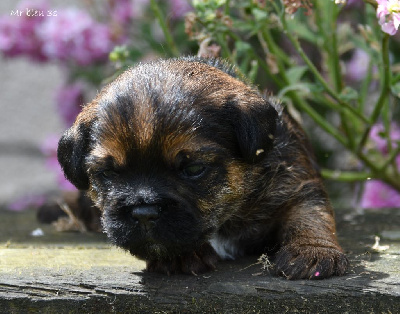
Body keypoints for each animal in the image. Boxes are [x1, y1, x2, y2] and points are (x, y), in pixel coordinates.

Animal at [57, 57, 348, 280]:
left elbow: (310, 214)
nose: (144, 212)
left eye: (194, 168)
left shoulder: (296, 181)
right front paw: (179, 256)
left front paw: (312, 251)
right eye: (107, 173)